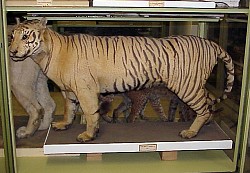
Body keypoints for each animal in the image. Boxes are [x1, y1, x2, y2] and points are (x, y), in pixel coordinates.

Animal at [8, 17, 233, 142]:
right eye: (12, 37)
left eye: (26, 37)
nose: (11, 52)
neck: (44, 54)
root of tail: (211, 43)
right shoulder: (69, 90)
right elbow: (69, 109)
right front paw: (64, 124)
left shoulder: (85, 89)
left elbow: (90, 113)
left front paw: (89, 135)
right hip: (195, 84)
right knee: (208, 102)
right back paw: (207, 122)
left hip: (187, 86)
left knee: (202, 107)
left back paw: (191, 132)